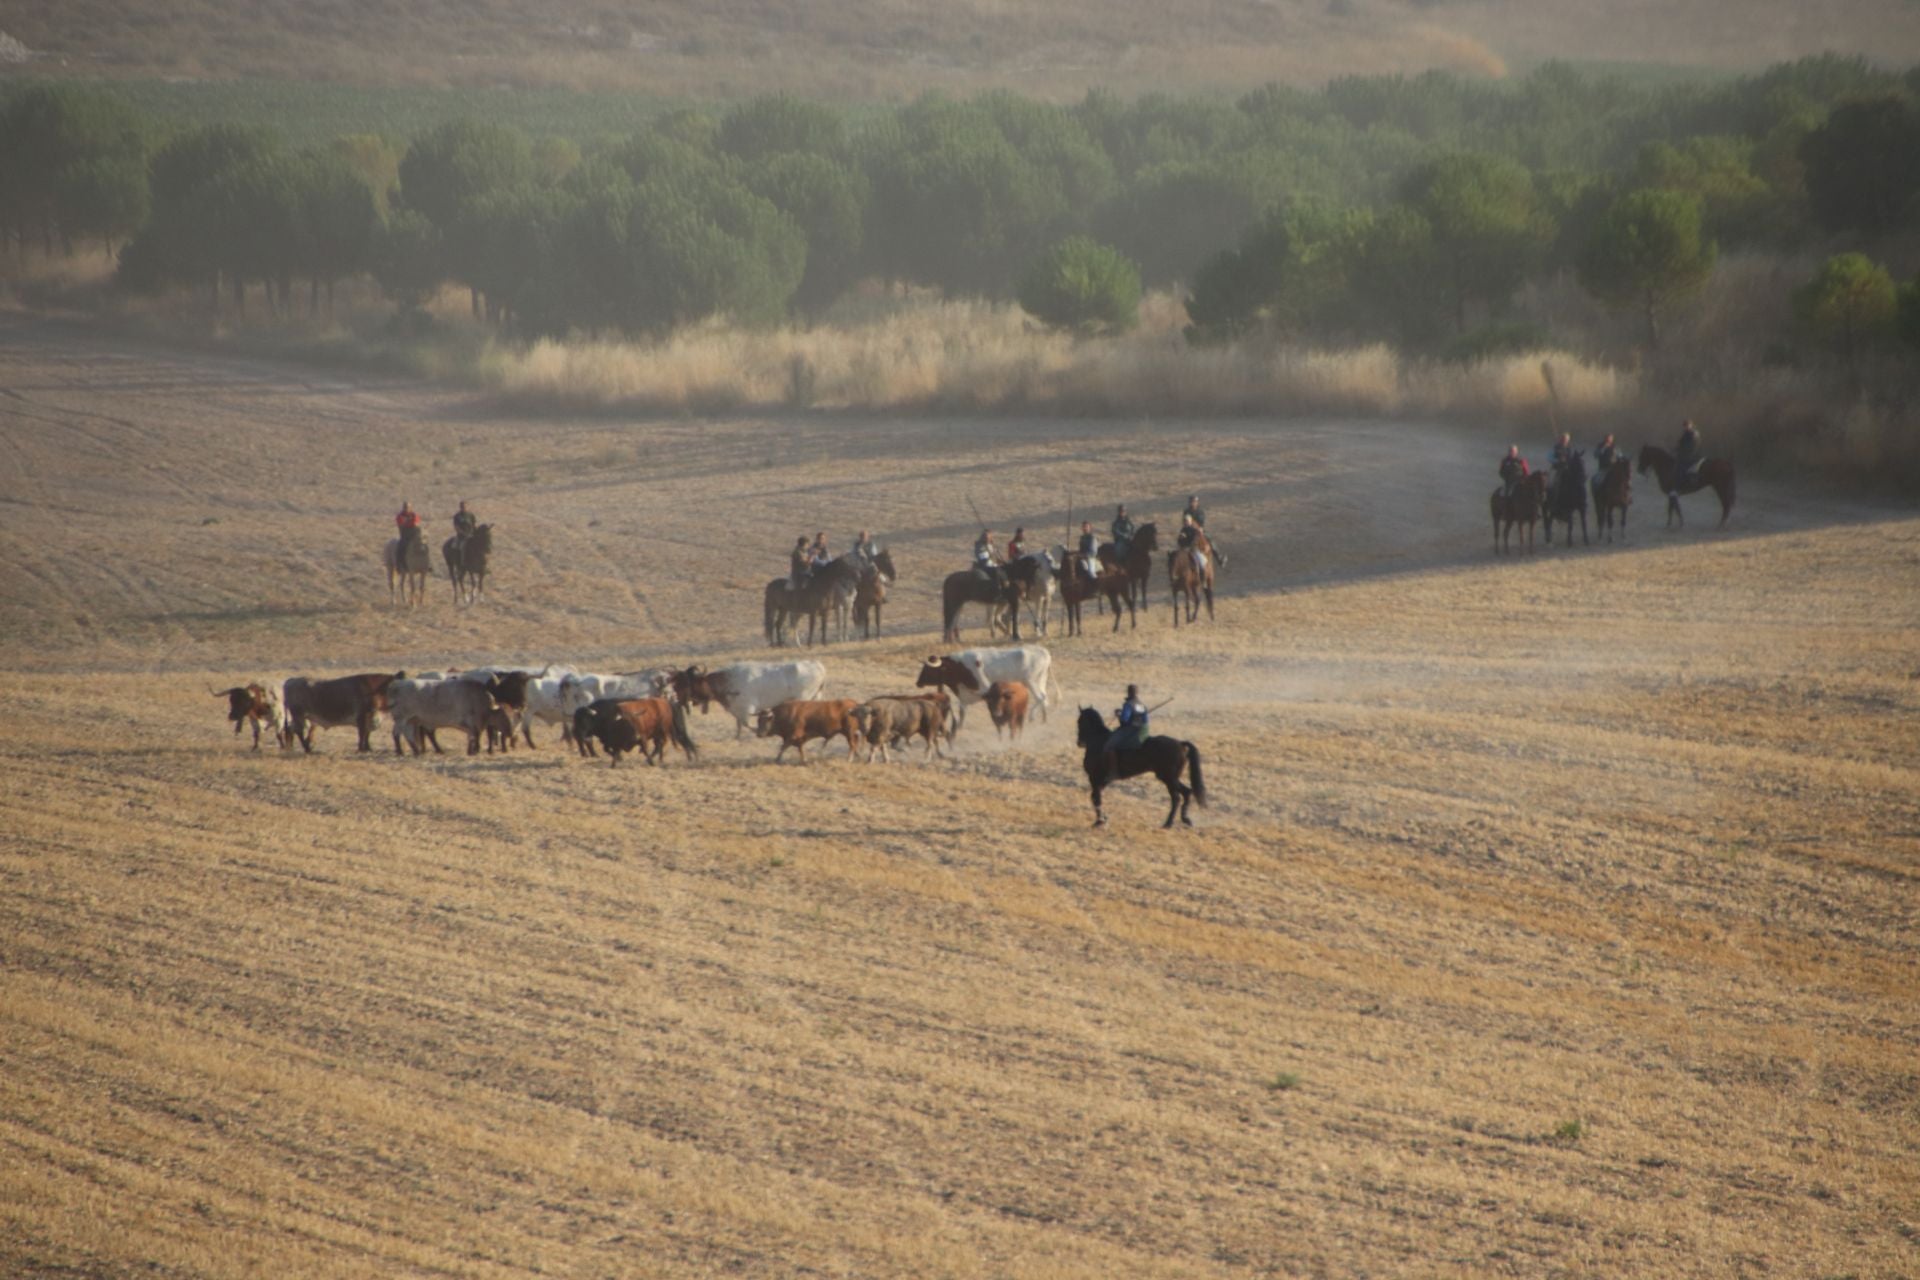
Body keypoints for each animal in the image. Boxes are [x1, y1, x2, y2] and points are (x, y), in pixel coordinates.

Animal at [917, 640, 1059, 729]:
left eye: (928, 669)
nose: (918, 683)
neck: (961, 667)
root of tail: (1044, 652)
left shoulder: (986, 689)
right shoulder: (964, 695)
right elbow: (962, 711)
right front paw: (959, 727)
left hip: (1031, 681)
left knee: (1041, 698)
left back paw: (1033, 717)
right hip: (1039, 681)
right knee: (1044, 699)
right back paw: (1042, 720)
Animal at [1075, 702, 1205, 832]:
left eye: (1079, 721)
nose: (1079, 742)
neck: (1098, 740)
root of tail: (1180, 744)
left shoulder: (1095, 778)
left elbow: (1095, 798)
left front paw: (1100, 821)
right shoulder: (1100, 781)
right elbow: (1096, 797)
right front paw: (1102, 819)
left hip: (1169, 778)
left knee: (1177, 797)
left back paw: (1169, 823)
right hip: (1170, 778)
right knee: (1186, 792)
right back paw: (1185, 819)